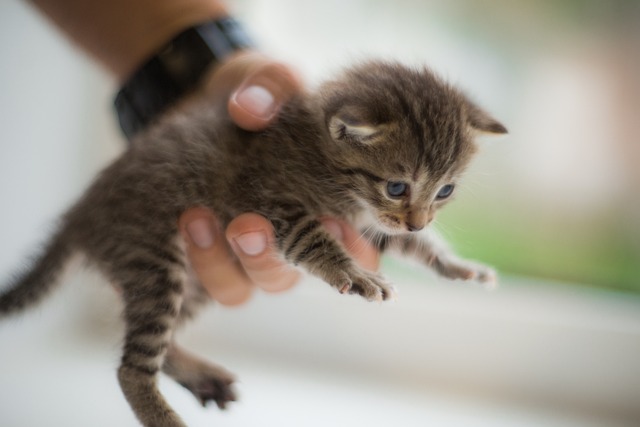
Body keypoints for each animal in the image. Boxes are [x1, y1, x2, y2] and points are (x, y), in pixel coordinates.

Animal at [1, 61, 510, 427]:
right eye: (397, 187)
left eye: (445, 191)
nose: (418, 222)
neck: (321, 154)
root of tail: (79, 215)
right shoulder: (267, 205)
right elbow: (314, 238)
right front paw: (353, 271)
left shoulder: (371, 222)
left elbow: (413, 245)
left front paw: (457, 265)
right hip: (154, 257)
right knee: (132, 366)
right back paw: (166, 418)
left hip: (195, 281)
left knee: (162, 346)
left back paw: (200, 377)